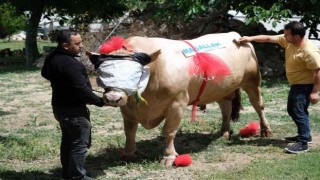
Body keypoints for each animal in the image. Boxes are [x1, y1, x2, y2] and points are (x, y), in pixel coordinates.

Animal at [87, 31, 272, 167]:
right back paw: (224, 131)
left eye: (135, 74)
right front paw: (129, 153)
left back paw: (265, 130)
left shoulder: (177, 103)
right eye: (103, 73)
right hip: (220, 88)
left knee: (258, 104)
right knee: (225, 107)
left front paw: (169, 157)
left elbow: (169, 131)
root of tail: (237, 36)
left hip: (252, 81)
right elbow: (129, 131)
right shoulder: (127, 108)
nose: (112, 98)